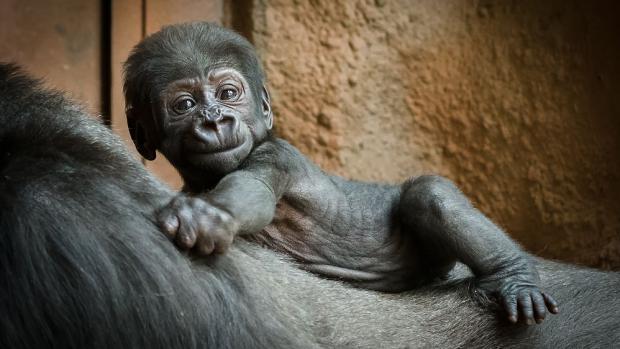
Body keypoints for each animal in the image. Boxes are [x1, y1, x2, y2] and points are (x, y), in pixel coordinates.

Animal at [123, 23, 560, 324]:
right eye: (185, 104)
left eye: (229, 94)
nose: (215, 119)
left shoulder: (276, 156)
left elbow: (252, 191)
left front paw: (207, 216)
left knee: (428, 194)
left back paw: (513, 277)